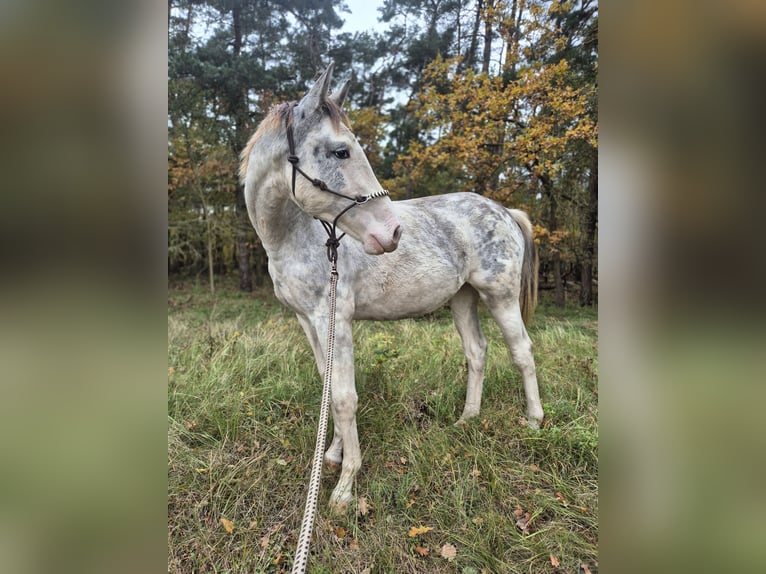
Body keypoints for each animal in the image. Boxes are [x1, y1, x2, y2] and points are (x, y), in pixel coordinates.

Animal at [239, 63, 543, 510]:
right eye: (341, 152)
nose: (392, 232)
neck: (298, 239)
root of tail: (503, 210)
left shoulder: (336, 320)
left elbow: (344, 397)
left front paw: (345, 485)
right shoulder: (309, 322)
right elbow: (329, 387)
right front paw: (333, 455)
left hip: (500, 297)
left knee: (522, 352)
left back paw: (534, 420)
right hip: (463, 299)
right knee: (477, 352)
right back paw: (467, 419)